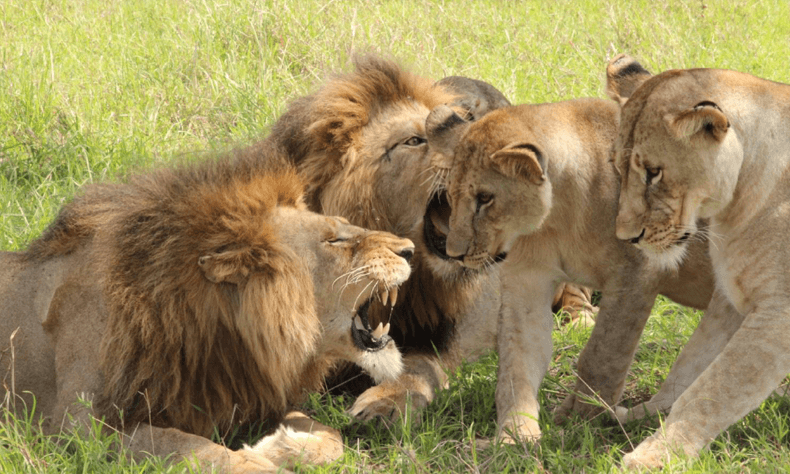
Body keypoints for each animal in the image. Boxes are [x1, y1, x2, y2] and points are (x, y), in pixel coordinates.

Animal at [0, 155, 418, 470]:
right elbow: (186, 447)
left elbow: (333, 437)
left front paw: (281, 447)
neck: (222, 332)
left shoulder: (249, 393)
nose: (411, 249)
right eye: (335, 240)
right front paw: (257, 461)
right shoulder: (77, 427)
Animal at [424, 97, 720, 444]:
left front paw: (581, 416)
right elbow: (517, 362)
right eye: (450, 196)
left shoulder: (638, 274)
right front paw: (516, 434)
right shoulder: (526, 280)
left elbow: (603, 355)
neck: (556, 219)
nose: (454, 254)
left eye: (485, 198)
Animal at [604, 53, 790, 468]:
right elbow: (690, 364)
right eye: (619, 169)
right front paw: (643, 414)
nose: (626, 236)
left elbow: (712, 390)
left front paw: (653, 458)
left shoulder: (779, 313)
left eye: (654, 172)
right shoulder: (730, 298)